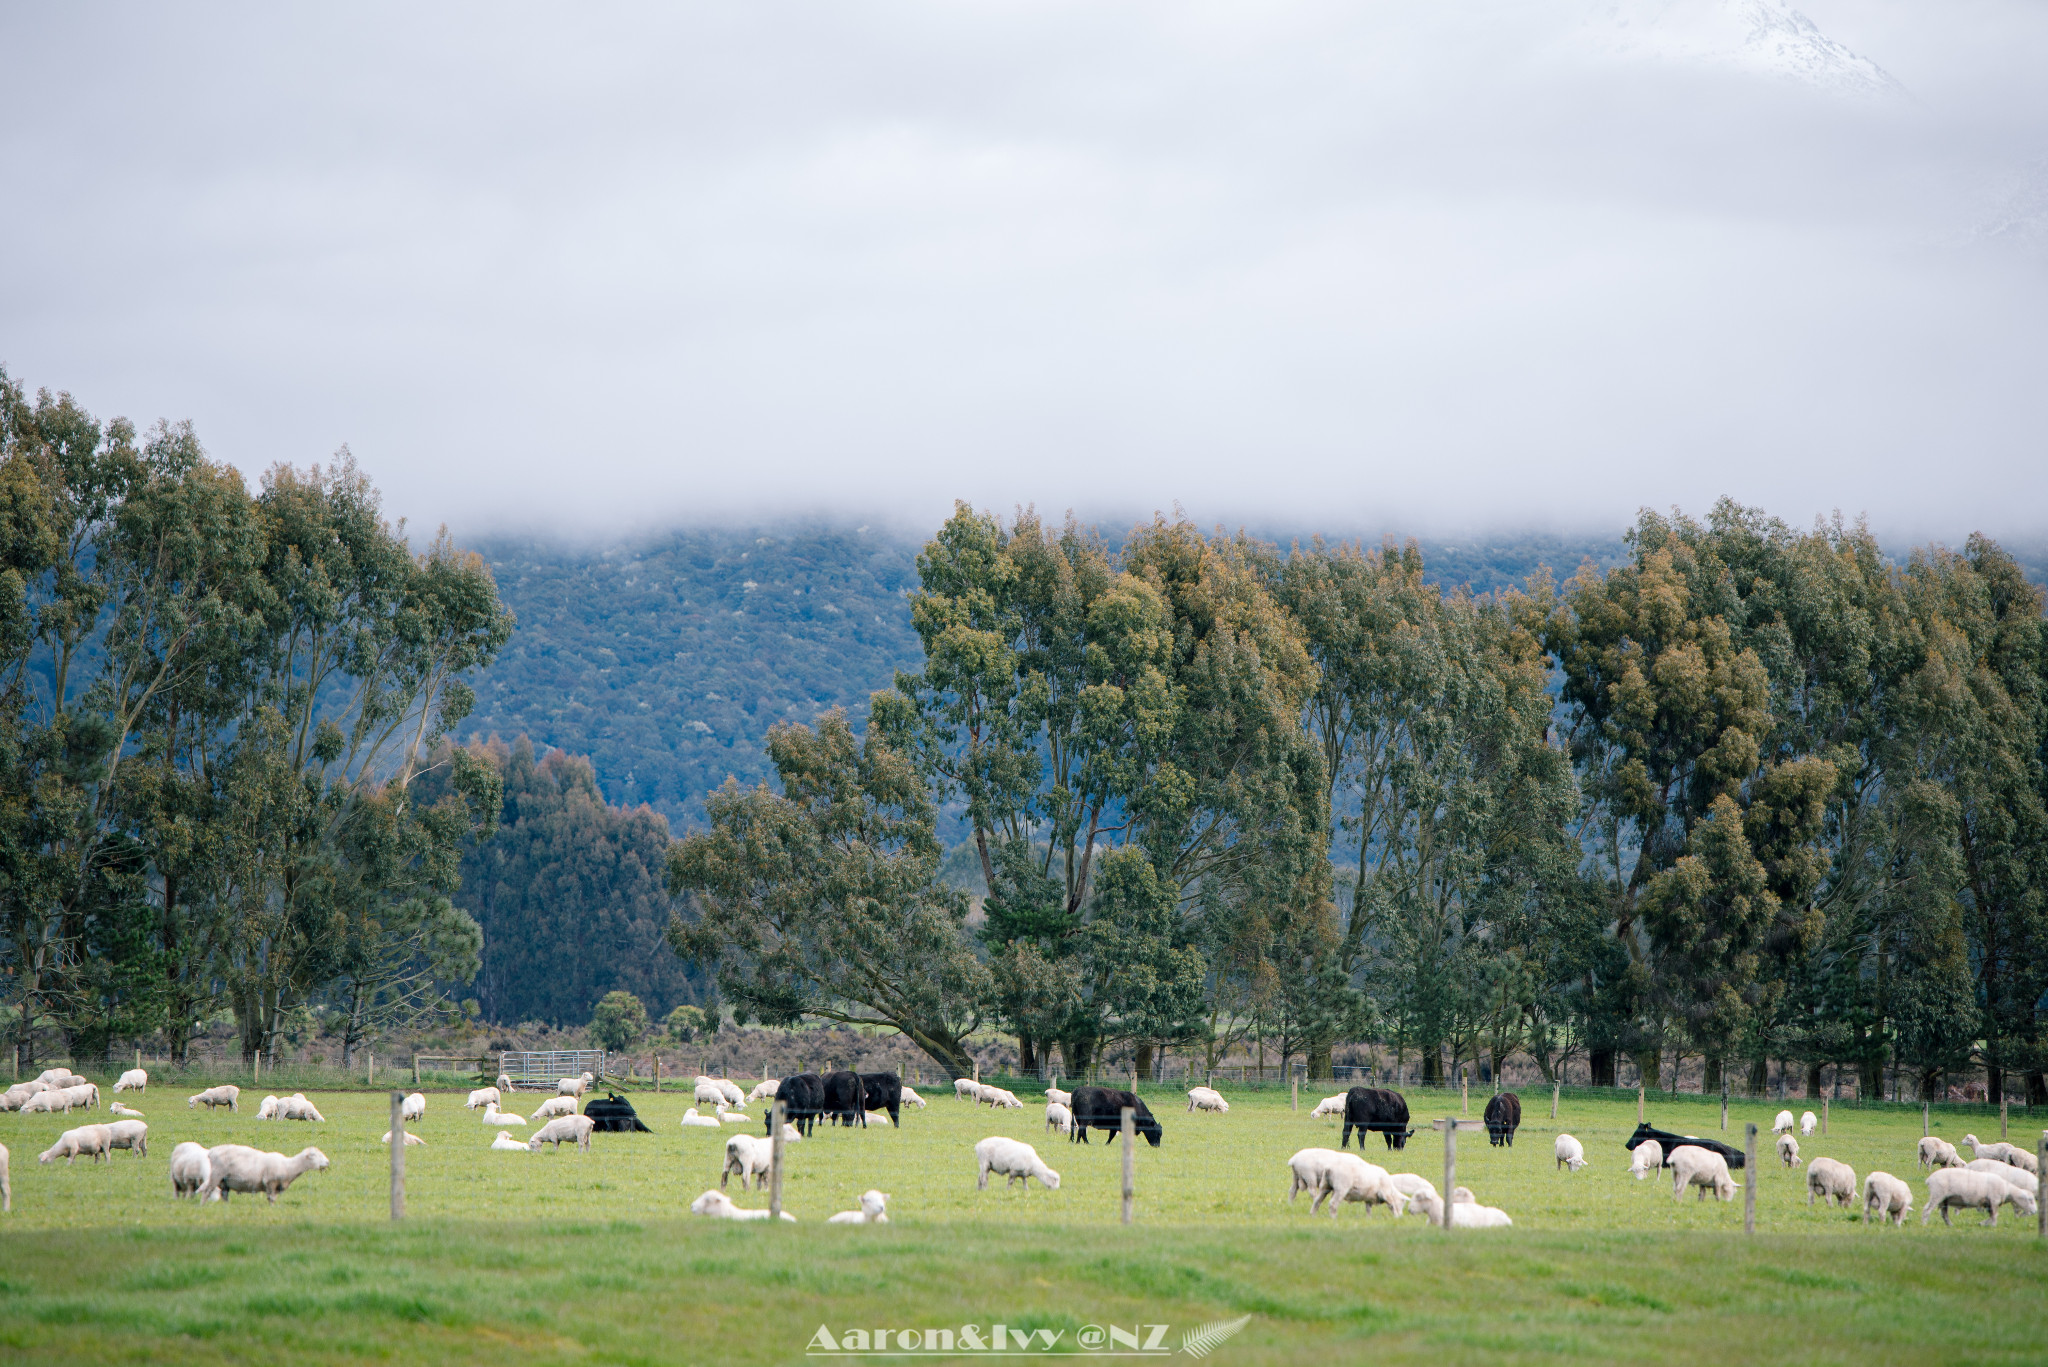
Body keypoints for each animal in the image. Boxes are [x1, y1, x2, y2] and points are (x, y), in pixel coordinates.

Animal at [199, 1147, 331, 1205]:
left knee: (224, 1194)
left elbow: (273, 1199)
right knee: (207, 1191)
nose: (328, 1162)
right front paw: (271, 1208)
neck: (289, 1166)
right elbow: (271, 1198)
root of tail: (212, 1151)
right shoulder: (270, 1183)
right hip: (216, 1175)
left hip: (224, 1180)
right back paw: (202, 1206)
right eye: (314, 1155)